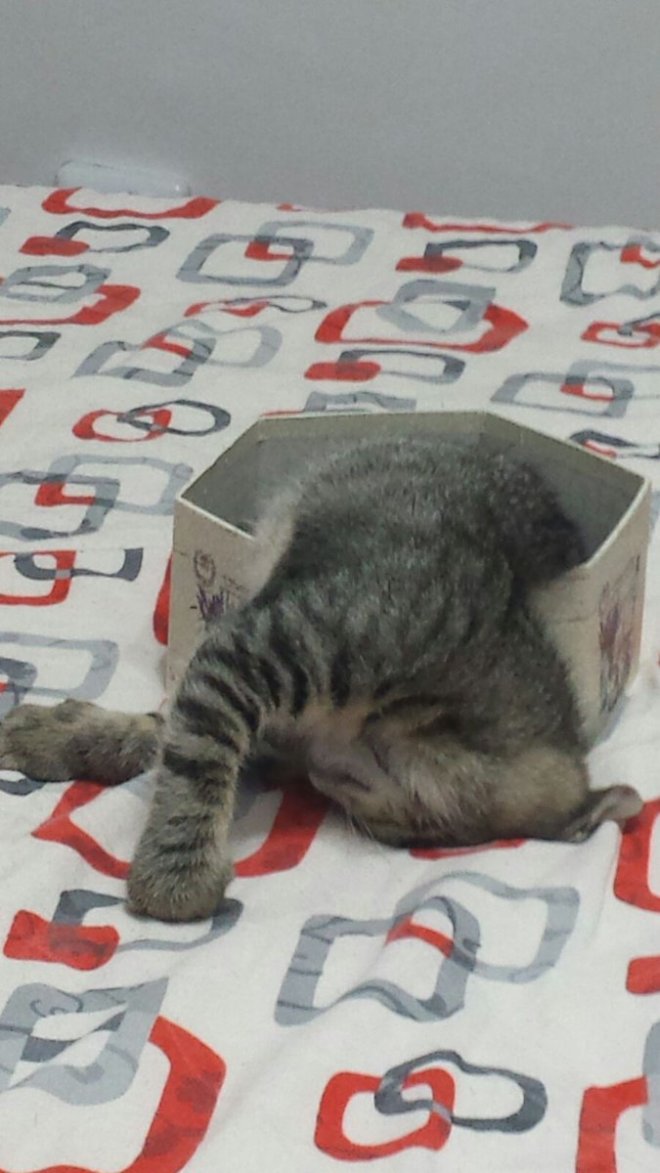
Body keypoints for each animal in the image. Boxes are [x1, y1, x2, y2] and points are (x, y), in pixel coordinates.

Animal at [0, 438, 642, 921]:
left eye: (407, 832)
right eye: (401, 787)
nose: (325, 776)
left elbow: (179, 731)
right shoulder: (264, 649)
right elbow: (198, 754)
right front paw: (176, 875)